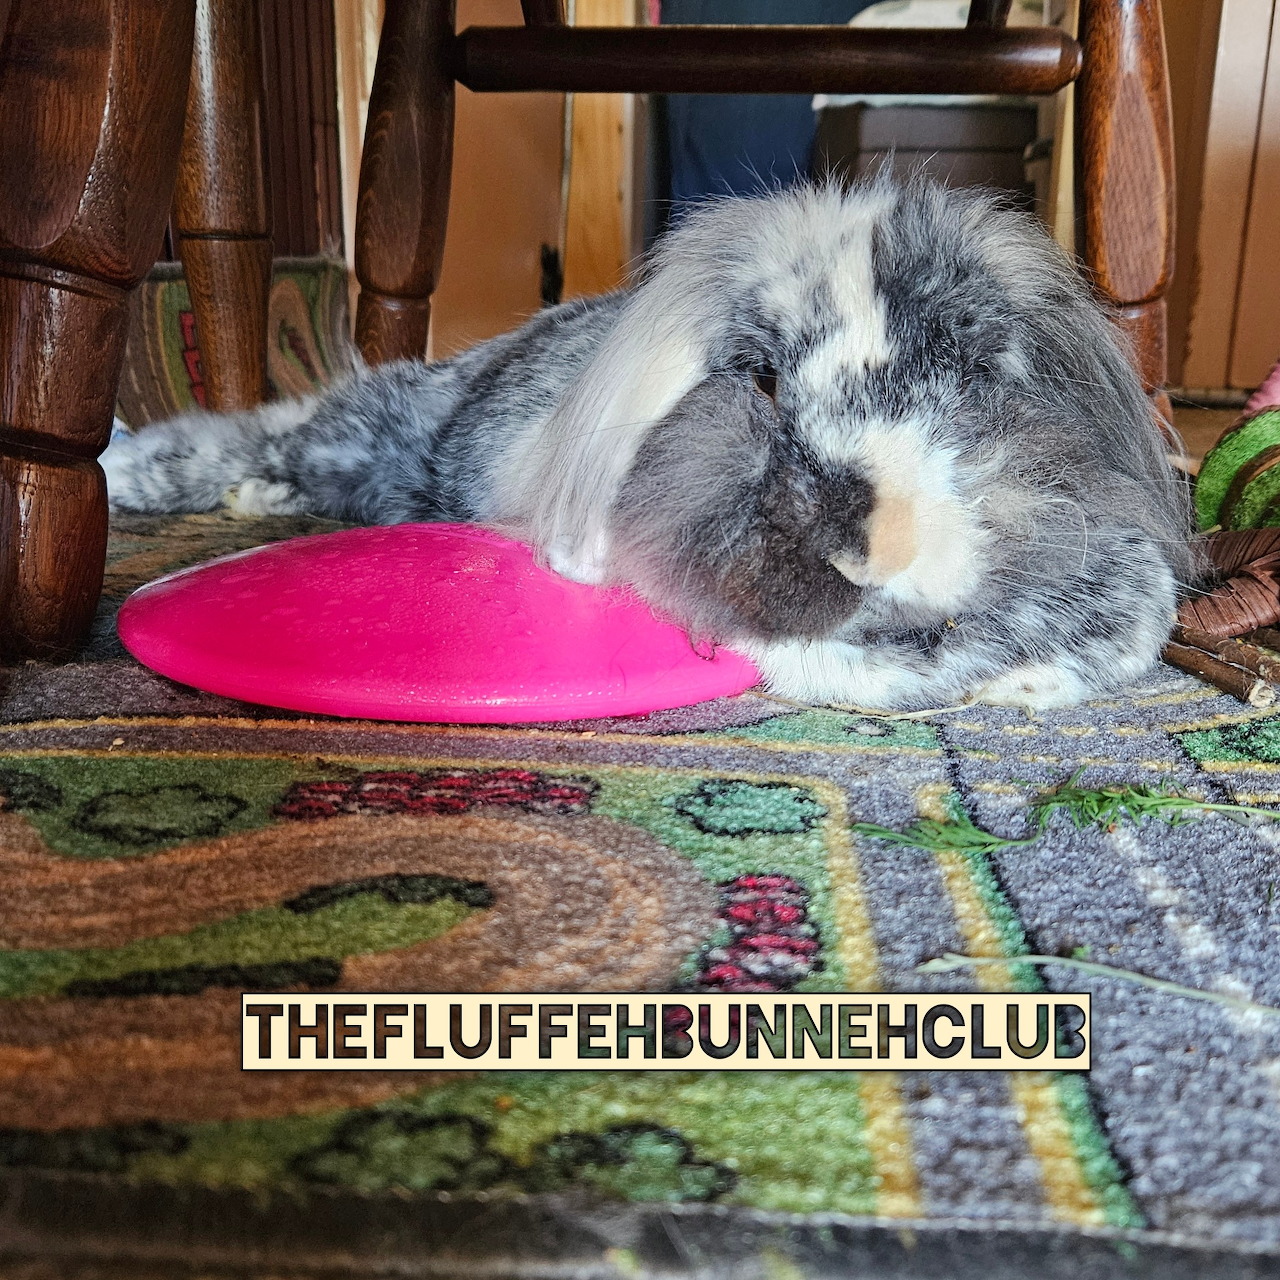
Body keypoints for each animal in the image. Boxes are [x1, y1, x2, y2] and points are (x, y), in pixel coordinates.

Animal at [103, 175, 1196, 711]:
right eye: (761, 380)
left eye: (973, 379)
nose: (877, 548)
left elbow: (1135, 622)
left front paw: (1022, 684)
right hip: (376, 433)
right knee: (262, 430)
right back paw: (141, 474)